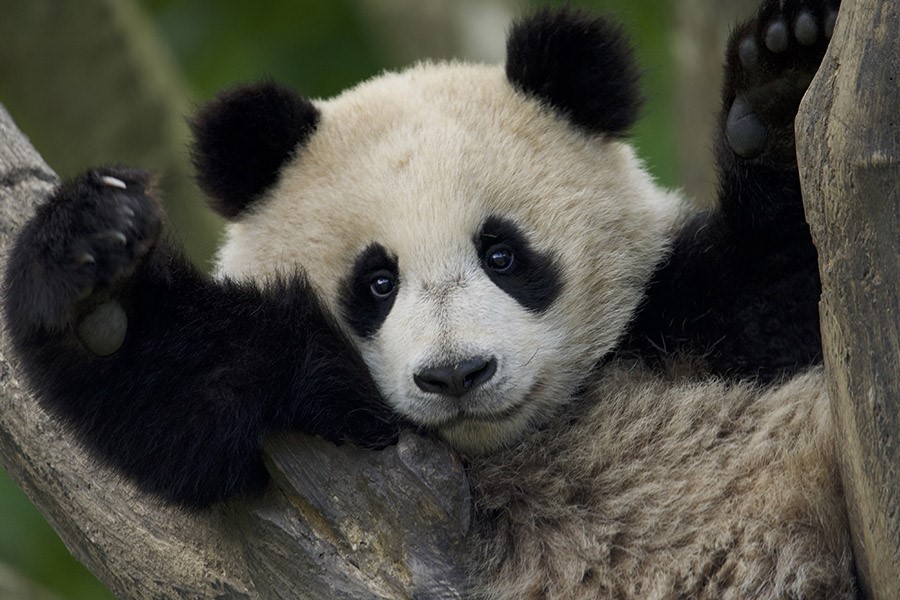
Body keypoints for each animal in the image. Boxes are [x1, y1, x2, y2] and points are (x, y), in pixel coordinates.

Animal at [3, 1, 856, 598]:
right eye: (377, 282)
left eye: (503, 254)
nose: (456, 375)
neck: (501, 446)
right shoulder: (306, 419)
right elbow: (181, 399)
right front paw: (93, 270)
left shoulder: (681, 311)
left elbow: (791, 278)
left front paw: (783, 81)